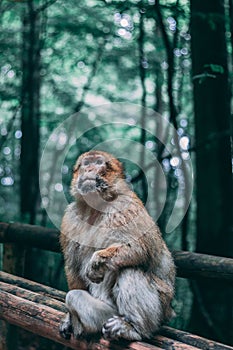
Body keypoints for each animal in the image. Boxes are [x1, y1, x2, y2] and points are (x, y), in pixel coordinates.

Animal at [59, 151, 176, 342]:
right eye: (86, 164)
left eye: (98, 163)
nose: (89, 169)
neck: (95, 207)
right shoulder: (70, 217)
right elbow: (73, 267)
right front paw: (68, 319)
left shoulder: (125, 207)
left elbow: (141, 248)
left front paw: (97, 261)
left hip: (155, 311)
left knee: (129, 270)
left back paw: (135, 328)